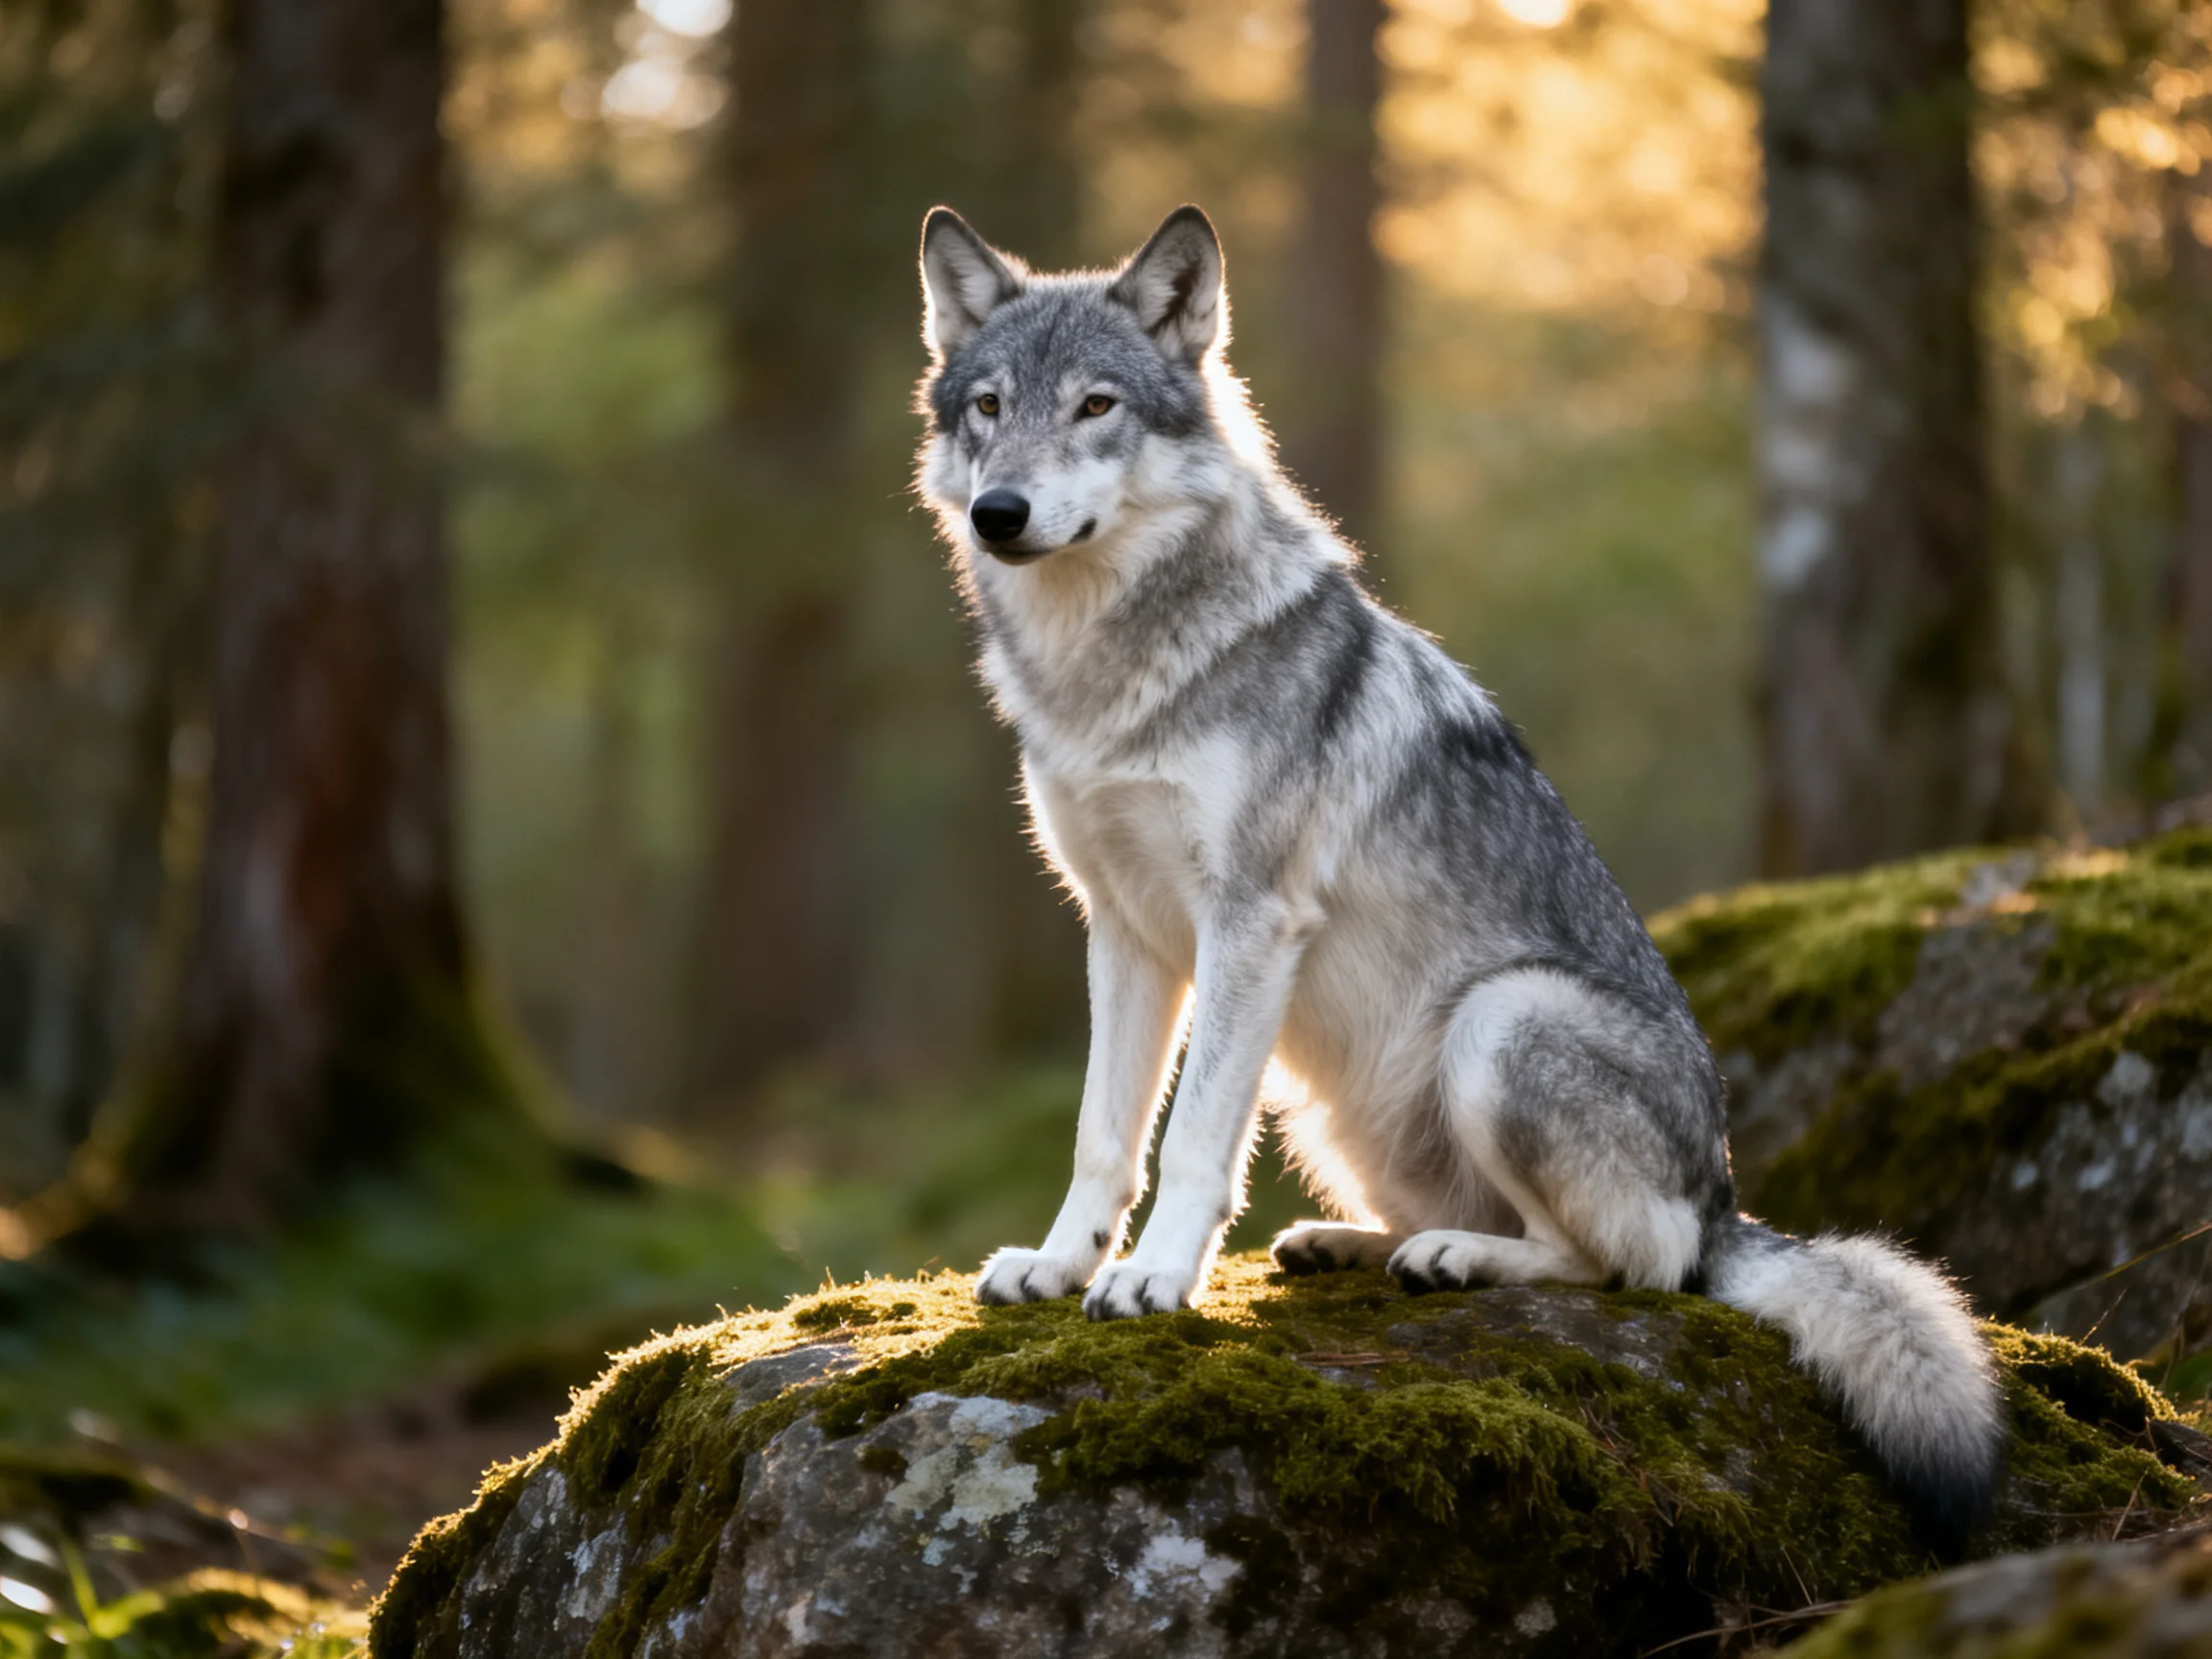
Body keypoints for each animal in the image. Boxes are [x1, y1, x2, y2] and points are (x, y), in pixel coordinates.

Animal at [913, 203, 2004, 1551]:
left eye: (1097, 406)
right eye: (988, 408)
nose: (998, 513)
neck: (1113, 672)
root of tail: (1726, 1201)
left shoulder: (1247, 927)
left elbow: (1192, 1139)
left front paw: (1156, 1277)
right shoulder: (1122, 931)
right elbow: (1102, 1136)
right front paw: (1060, 1268)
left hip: (1500, 1021)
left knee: (1634, 1267)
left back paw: (1459, 1262)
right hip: (1329, 1101)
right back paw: (1351, 1244)